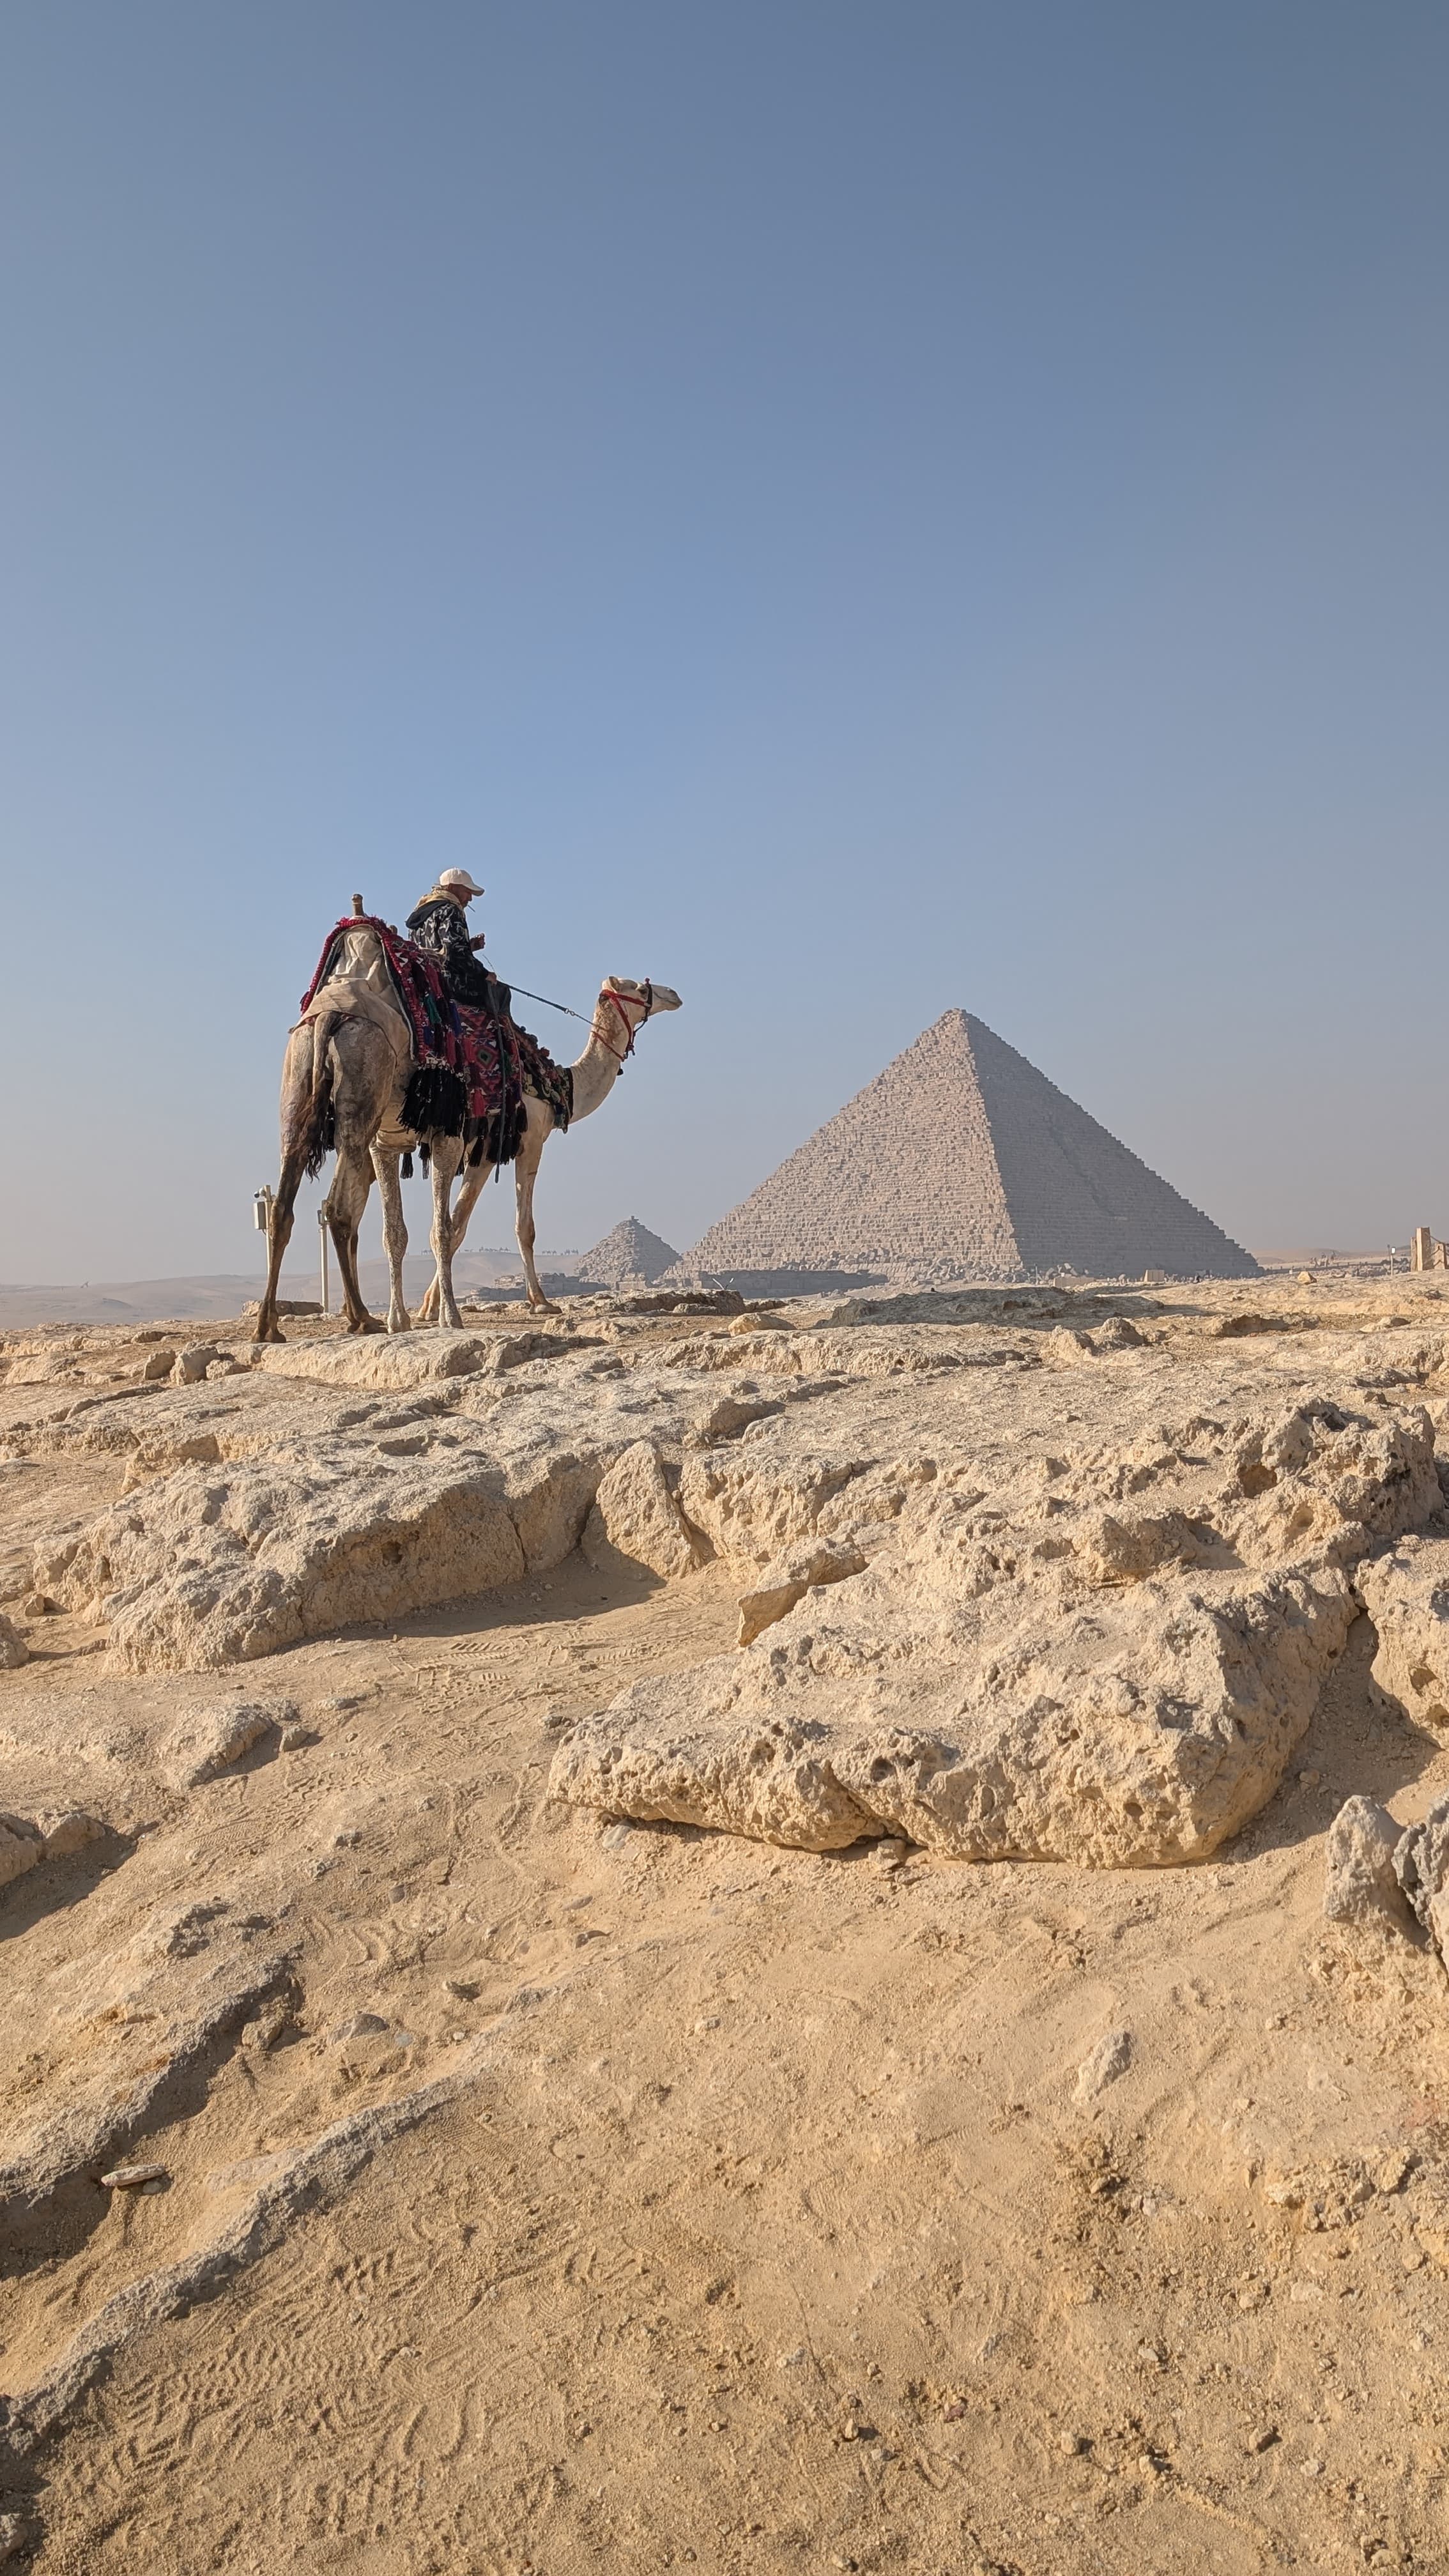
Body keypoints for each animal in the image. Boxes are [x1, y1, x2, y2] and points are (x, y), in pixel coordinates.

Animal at [253, 920, 681, 1342]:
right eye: (640, 988)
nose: (673, 994)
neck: (558, 1085)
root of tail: (332, 1012)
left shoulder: (410, 1144)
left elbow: (413, 1231)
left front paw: (415, 1314)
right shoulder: (516, 1143)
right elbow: (500, 1227)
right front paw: (531, 1304)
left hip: (302, 1089)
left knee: (288, 1205)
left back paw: (276, 1325)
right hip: (365, 1087)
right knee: (339, 1210)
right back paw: (359, 1317)